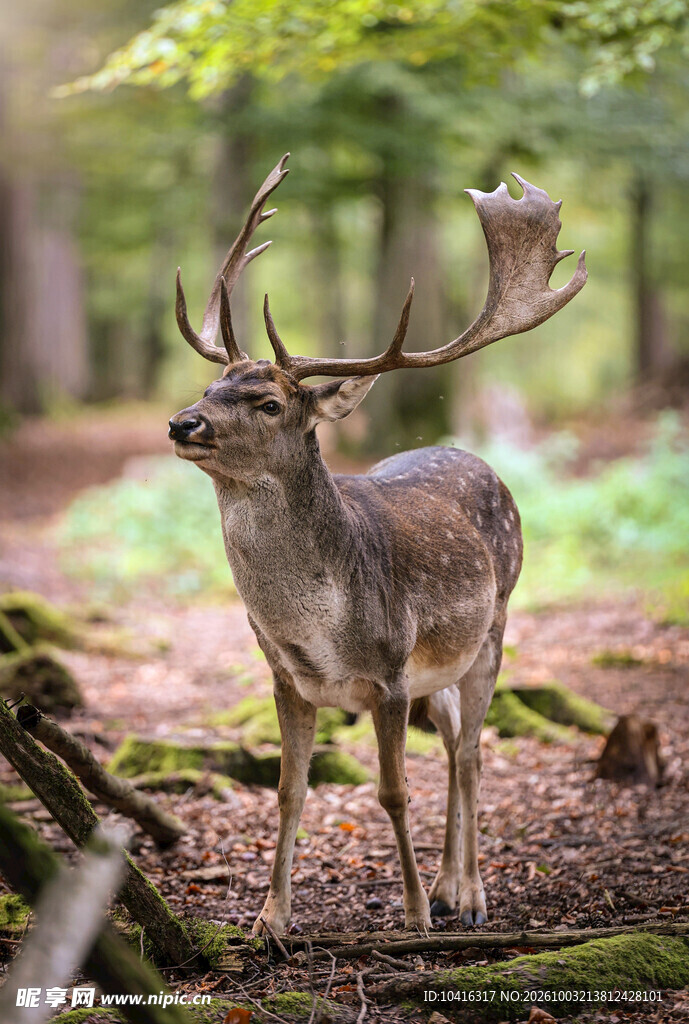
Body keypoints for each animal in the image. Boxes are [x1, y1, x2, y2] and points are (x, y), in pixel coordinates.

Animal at [168, 154, 586, 935]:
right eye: (211, 385)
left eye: (269, 402)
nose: (184, 423)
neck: (317, 629)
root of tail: (479, 459)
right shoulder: (285, 678)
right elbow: (289, 791)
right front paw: (270, 921)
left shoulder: (390, 672)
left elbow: (392, 792)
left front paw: (415, 913)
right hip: (441, 666)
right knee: (452, 741)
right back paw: (453, 888)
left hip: (495, 624)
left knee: (472, 752)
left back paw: (469, 898)